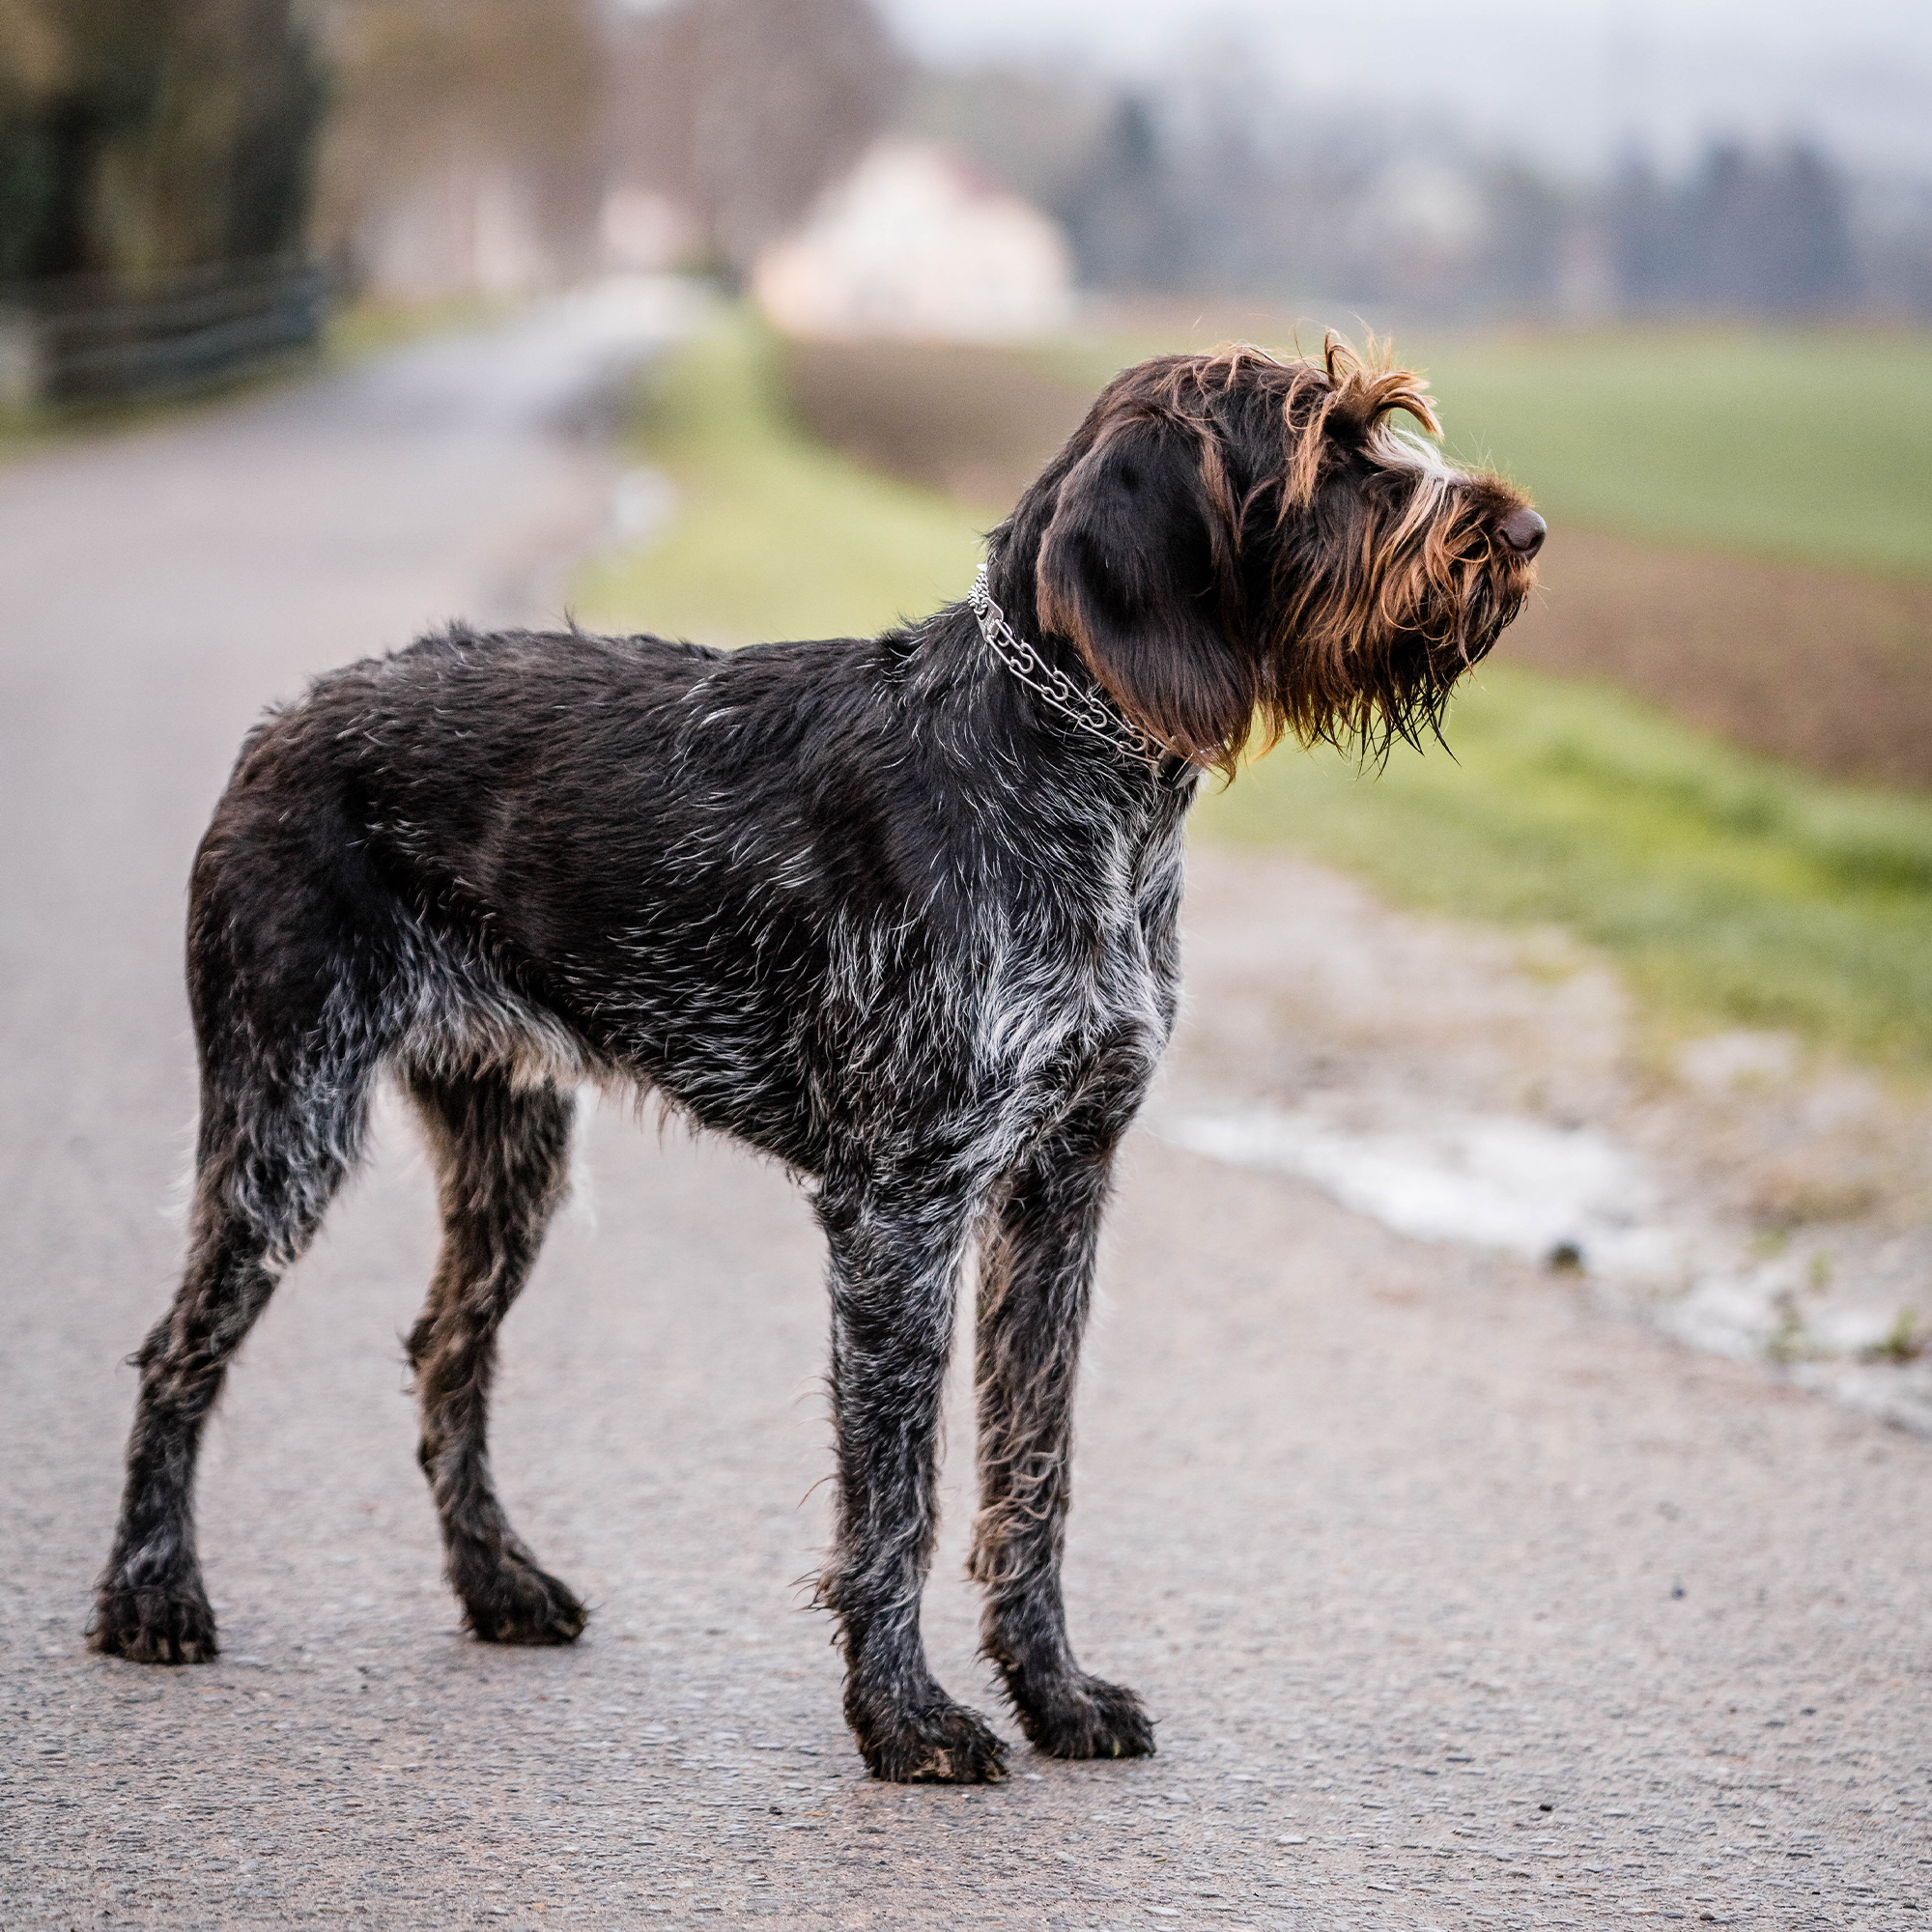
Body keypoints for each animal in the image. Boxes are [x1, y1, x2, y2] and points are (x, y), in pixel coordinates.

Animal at [91, 332, 1546, 1777]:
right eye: (1326, 448)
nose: (1524, 531)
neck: (1077, 771)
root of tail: (286, 720)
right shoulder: (902, 1202)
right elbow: (896, 1491)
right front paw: (904, 1716)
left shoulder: (1061, 1184)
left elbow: (1035, 1467)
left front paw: (1053, 1691)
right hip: (288, 1115)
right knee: (179, 1350)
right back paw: (151, 1593)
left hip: (511, 1148)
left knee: (447, 1350)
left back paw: (497, 1580)